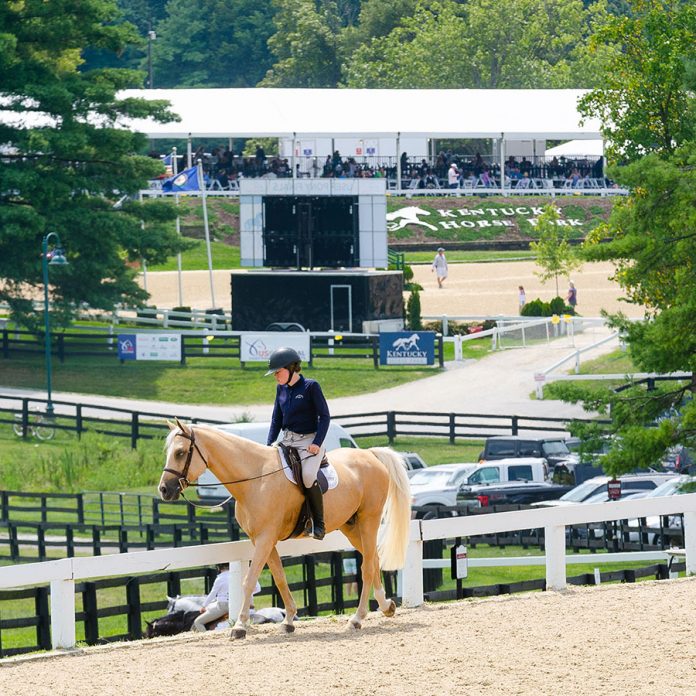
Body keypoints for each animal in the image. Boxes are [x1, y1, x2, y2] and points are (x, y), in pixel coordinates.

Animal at [159, 419, 411, 639]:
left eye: (180, 452)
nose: (164, 489)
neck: (255, 478)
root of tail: (369, 455)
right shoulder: (263, 540)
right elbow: (279, 578)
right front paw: (289, 620)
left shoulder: (265, 538)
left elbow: (248, 581)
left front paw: (240, 626)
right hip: (350, 527)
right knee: (374, 558)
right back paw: (386, 605)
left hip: (369, 520)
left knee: (367, 566)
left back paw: (357, 619)